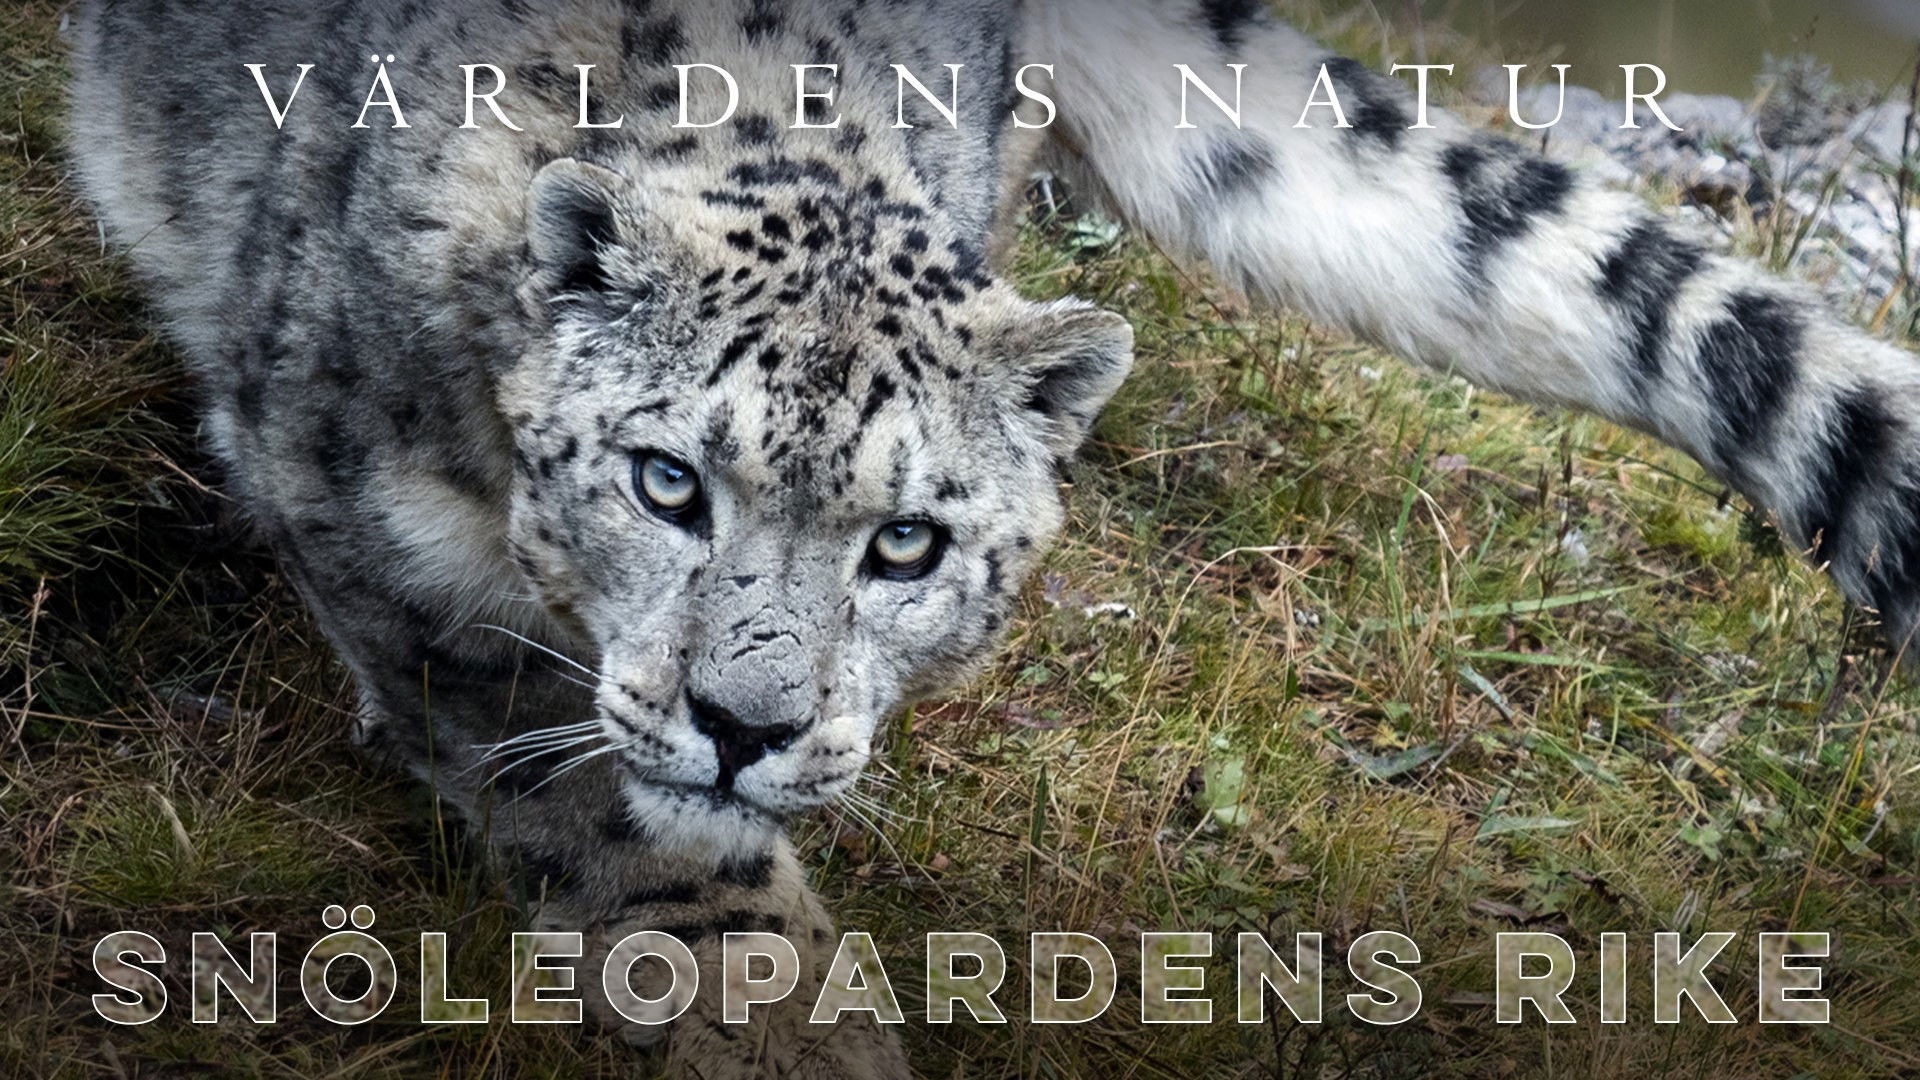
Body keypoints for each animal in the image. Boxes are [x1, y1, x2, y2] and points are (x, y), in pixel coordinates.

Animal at [67, 0, 1920, 1074]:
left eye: (904, 542)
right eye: (667, 482)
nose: (743, 727)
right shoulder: (390, 546)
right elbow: (610, 808)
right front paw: (776, 1010)